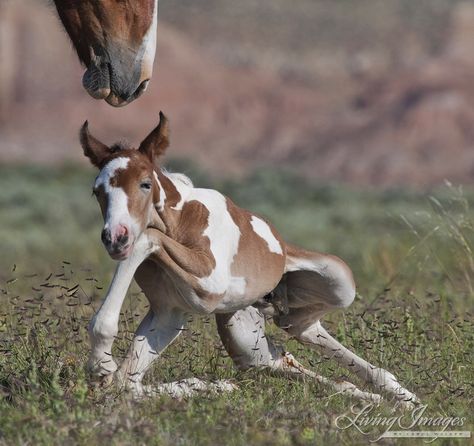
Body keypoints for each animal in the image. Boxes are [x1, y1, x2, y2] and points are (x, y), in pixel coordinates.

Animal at [81, 113, 418, 406]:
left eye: (145, 183)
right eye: (97, 191)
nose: (115, 237)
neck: (182, 220)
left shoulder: (208, 286)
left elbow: (147, 238)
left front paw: (100, 365)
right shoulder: (169, 312)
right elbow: (125, 384)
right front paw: (206, 385)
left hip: (341, 282)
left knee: (300, 329)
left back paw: (401, 395)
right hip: (244, 336)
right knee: (287, 346)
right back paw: (386, 397)